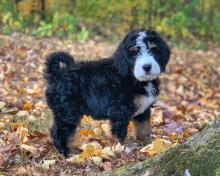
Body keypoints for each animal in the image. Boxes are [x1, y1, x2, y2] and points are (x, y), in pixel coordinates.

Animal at [43, 29, 169, 157]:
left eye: (153, 49)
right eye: (134, 52)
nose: (147, 67)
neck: (132, 77)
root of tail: (57, 74)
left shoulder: (143, 109)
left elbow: (144, 128)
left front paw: (148, 145)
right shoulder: (120, 111)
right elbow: (120, 134)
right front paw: (121, 149)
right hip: (67, 112)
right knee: (59, 132)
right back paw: (66, 153)